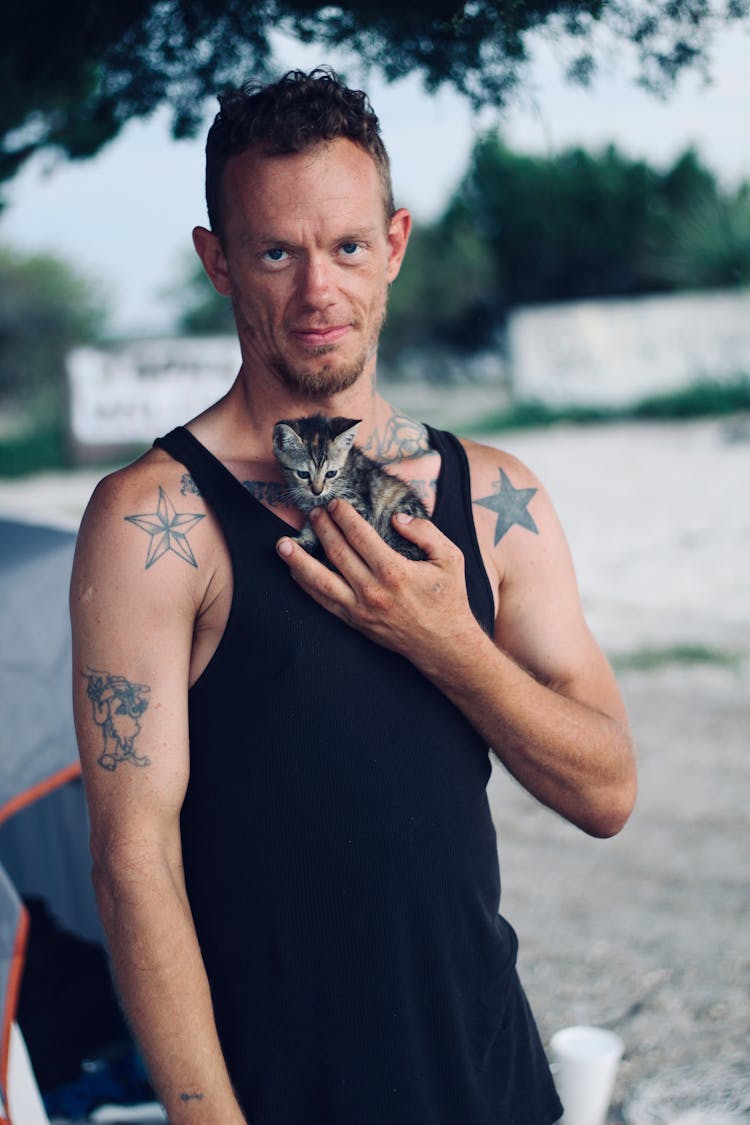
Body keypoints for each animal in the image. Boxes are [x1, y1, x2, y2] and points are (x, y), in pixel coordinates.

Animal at [274, 411, 427, 560]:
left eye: (331, 473)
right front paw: (303, 542)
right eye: (303, 474)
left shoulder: (359, 508)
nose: (317, 491)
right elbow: (310, 530)